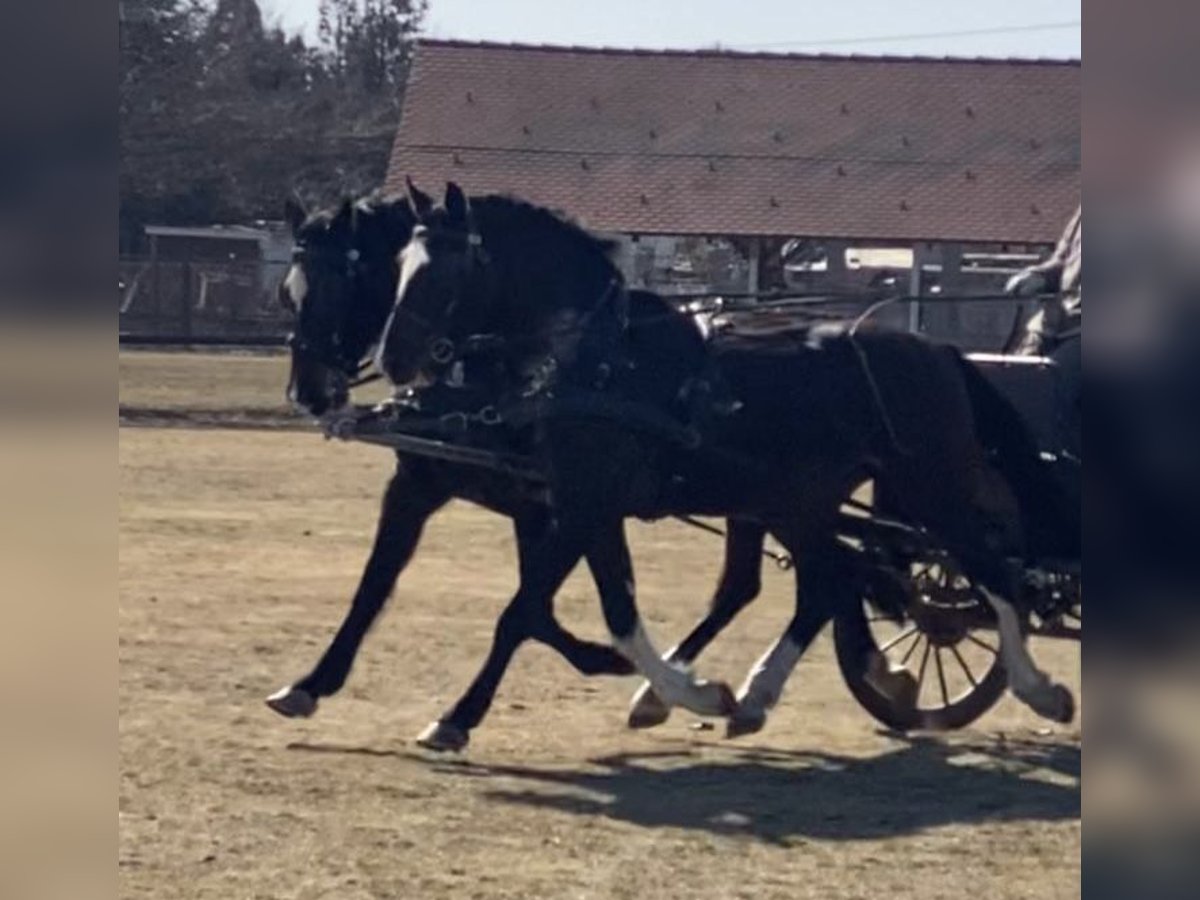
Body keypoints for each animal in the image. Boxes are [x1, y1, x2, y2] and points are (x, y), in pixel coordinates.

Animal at [268, 189, 807, 751]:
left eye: (339, 285)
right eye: (289, 293)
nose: (307, 393)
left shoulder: (568, 506)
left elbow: (529, 610)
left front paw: (460, 715)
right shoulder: (434, 488)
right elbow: (377, 587)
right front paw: (309, 684)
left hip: (787, 505)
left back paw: (748, 692)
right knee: (769, 584)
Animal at [376, 182, 1079, 737]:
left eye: (442, 272)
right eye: (400, 264)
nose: (393, 357)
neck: (603, 359)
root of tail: (937, 352)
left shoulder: (584, 504)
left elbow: (523, 611)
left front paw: (456, 719)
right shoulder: (586, 502)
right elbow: (616, 612)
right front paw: (682, 692)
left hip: (931, 485)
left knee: (990, 570)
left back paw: (1039, 689)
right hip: (799, 500)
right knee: (827, 581)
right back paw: (759, 692)